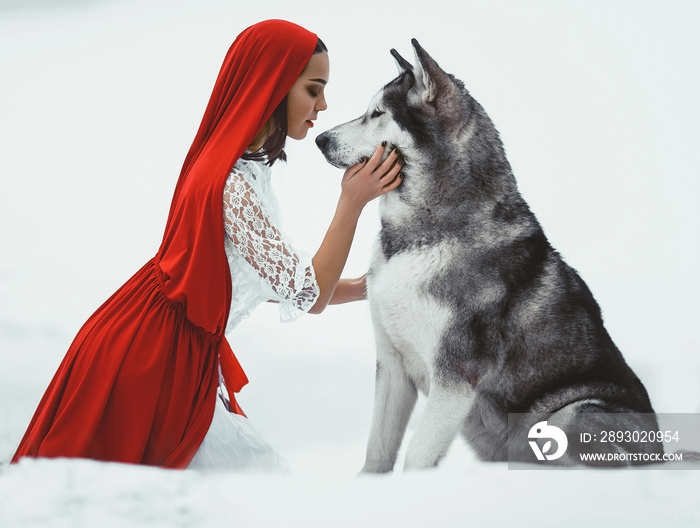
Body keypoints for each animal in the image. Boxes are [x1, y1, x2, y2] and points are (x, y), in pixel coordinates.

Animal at [314, 41, 660, 470]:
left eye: (377, 114)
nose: (319, 139)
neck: (419, 240)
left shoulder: (455, 378)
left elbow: (416, 453)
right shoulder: (393, 365)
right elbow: (378, 449)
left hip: (568, 413)